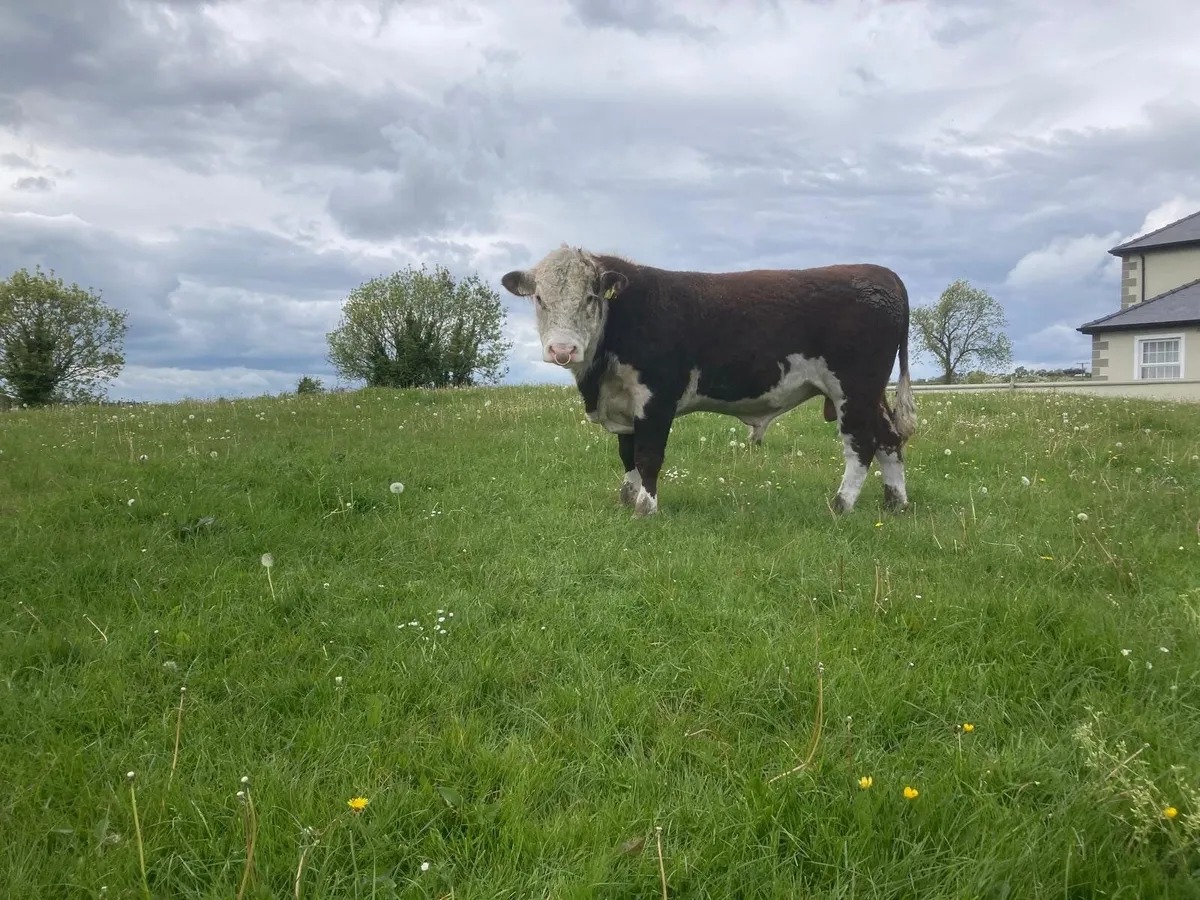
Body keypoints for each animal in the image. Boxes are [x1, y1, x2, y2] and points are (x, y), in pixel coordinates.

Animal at [501, 244, 917, 518]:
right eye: (540, 298)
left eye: (590, 297)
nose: (562, 349)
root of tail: (883, 274)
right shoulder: (624, 403)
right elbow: (627, 455)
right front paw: (627, 497)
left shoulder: (657, 398)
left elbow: (648, 455)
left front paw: (645, 508)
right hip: (871, 393)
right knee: (889, 439)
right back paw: (895, 502)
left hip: (854, 389)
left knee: (861, 444)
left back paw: (841, 505)